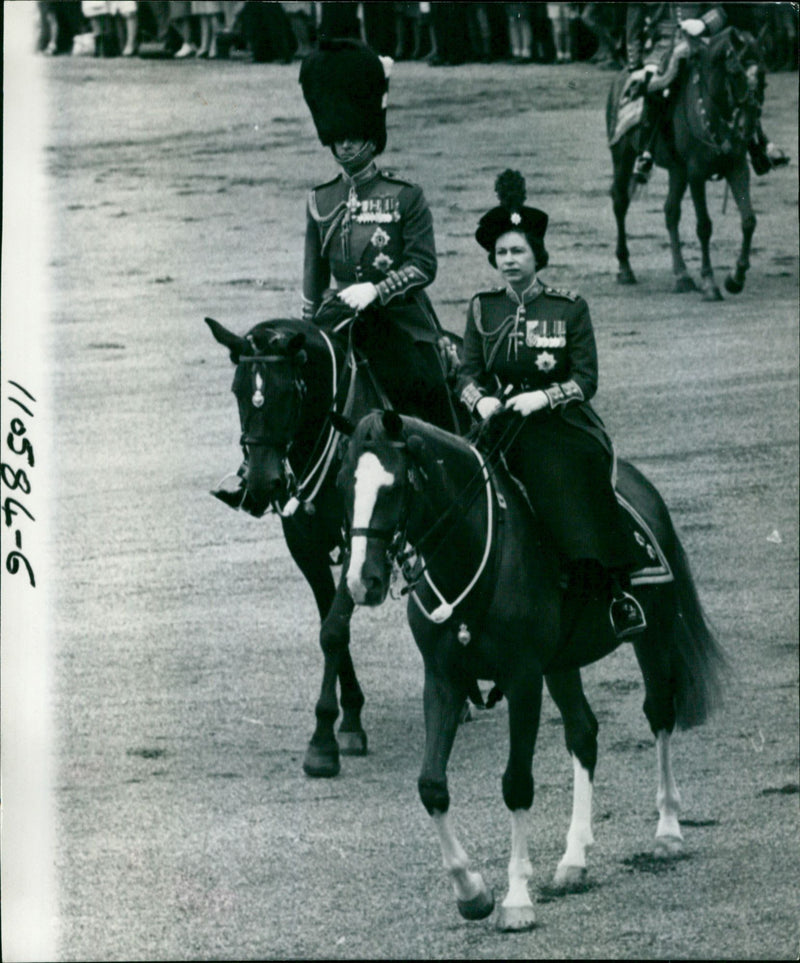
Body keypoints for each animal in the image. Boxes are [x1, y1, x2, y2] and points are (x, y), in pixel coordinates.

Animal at [209, 316, 462, 784]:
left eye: (287, 391)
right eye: (238, 391)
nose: (262, 484)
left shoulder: (358, 542)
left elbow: (332, 630)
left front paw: (323, 740)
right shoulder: (307, 549)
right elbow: (330, 626)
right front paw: (350, 719)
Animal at [340, 412, 728, 932]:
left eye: (396, 486)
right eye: (345, 483)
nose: (362, 582)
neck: (469, 549)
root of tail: (638, 484)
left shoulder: (523, 680)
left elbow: (516, 784)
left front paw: (517, 898)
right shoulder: (442, 680)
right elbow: (432, 786)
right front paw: (472, 892)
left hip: (655, 633)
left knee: (659, 712)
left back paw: (667, 829)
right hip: (562, 664)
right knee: (583, 734)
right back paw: (574, 858)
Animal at [608, 27, 764, 298]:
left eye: (763, 76)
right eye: (736, 73)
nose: (747, 128)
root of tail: (622, 76)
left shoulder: (737, 168)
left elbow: (748, 220)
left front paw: (736, 278)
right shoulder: (696, 174)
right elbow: (704, 226)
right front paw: (709, 282)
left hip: (676, 170)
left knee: (671, 212)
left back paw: (681, 275)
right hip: (623, 157)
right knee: (620, 202)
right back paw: (625, 268)